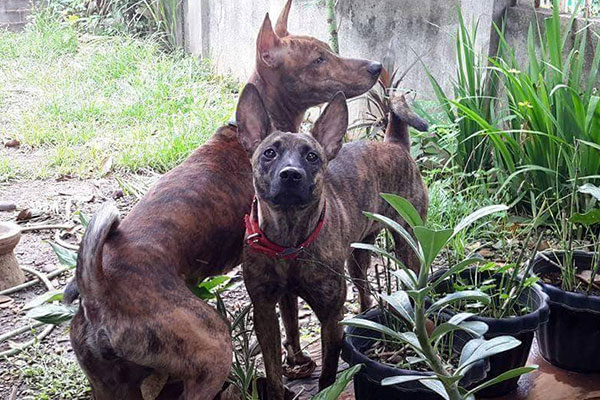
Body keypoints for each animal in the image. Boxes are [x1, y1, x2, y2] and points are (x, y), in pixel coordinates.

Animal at [63, 1, 382, 398]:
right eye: (319, 59)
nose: (377, 66)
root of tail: (96, 291)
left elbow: (290, 319)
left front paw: (293, 360)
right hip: (213, 347)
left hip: (110, 384)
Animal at [237, 83, 428, 398]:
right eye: (269, 153)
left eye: (312, 156)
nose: (291, 174)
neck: (290, 240)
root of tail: (394, 143)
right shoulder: (265, 310)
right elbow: (276, 363)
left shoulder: (330, 315)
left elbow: (328, 371)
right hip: (357, 258)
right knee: (363, 291)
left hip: (407, 242)